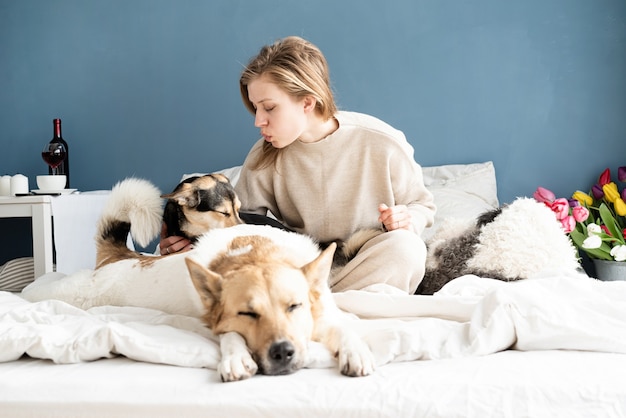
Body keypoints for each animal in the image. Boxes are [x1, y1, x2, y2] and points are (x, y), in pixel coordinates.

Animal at [39, 176, 376, 382]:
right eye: (246, 314)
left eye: (294, 307)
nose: (282, 353)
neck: (255, 252)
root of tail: (118, 256)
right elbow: (230, 336)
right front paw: (235, 358)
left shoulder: (326, 312)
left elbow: (343, 328)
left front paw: (356, 352)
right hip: (70, 294)